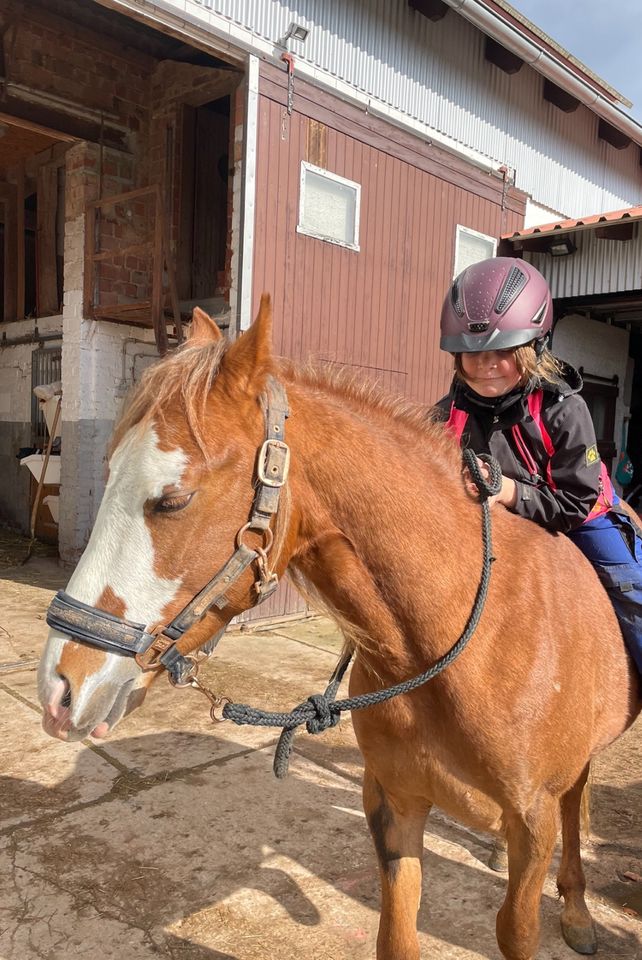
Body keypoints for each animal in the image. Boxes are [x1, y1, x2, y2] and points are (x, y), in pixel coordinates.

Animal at [38, 300, 636, 960]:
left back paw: (578, 911)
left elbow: (518, 926)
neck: (461, 646)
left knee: (578, 800)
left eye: (173, 500)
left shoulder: (532, 824)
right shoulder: (395, 803)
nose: (60, 689)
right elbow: (396, 935)